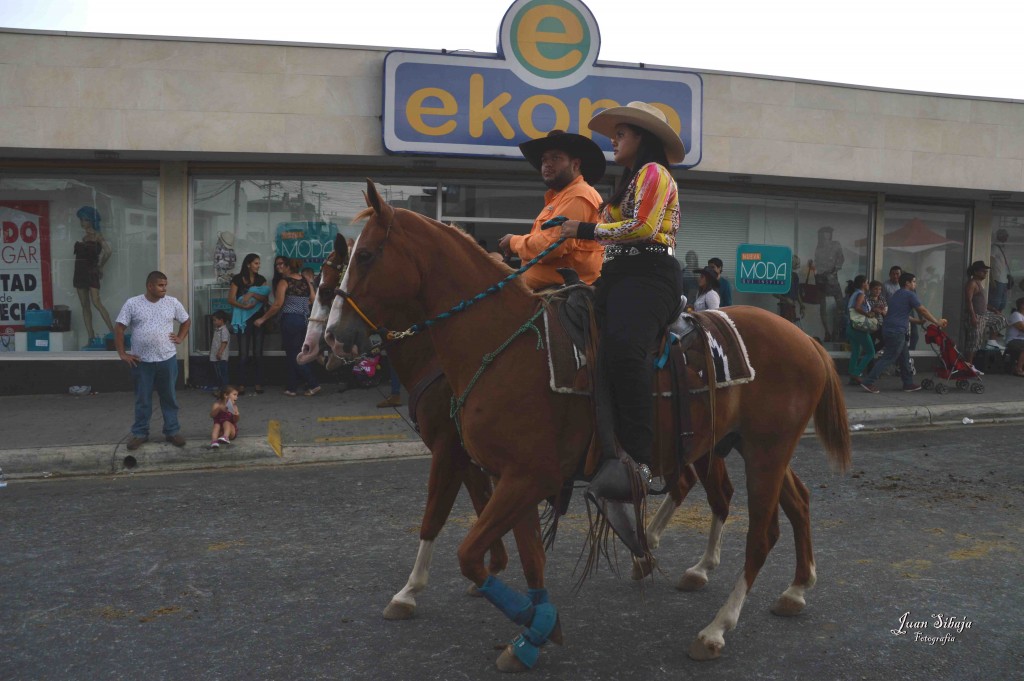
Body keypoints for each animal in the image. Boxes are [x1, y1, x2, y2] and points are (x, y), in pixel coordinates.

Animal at [329, 182, 856, 667]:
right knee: (793, 501)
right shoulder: (513, 477)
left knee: (760, 534)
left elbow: (464, 548)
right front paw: (536, 628)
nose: (334, 337)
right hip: (747, 445)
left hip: (765, 451)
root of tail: (807, 341)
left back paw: (715, 629)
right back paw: (792, 588)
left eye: (367, 255)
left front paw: (508, 615)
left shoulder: (515, 473)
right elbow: (526, 559)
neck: (503, 345)